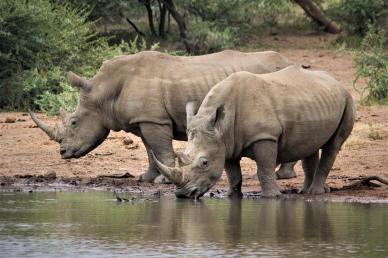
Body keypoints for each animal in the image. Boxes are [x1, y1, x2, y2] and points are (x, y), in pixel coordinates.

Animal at [31, 50, 298, 183]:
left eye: (74, 122)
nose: (63, 152)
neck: (104, 91)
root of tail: (287, 60)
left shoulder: (153, 119)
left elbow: (160, 149)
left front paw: (164, 181)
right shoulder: (144, 119)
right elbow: (150, 150)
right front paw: (146, 179)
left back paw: (281, 176)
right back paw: (283, 174)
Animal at [155, 66, 354, 198]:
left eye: (204, 163)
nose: (181, 194)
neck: (221, 126)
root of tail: (336, 81)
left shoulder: (264, 137)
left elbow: (264, 168)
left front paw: (272, 197)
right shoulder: (226, 143)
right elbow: (233, 173)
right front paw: (232, 196)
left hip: (347, 99)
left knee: (333, 146)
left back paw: (315, 193)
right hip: (315, 101)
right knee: (309, 145)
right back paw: (305, 192)